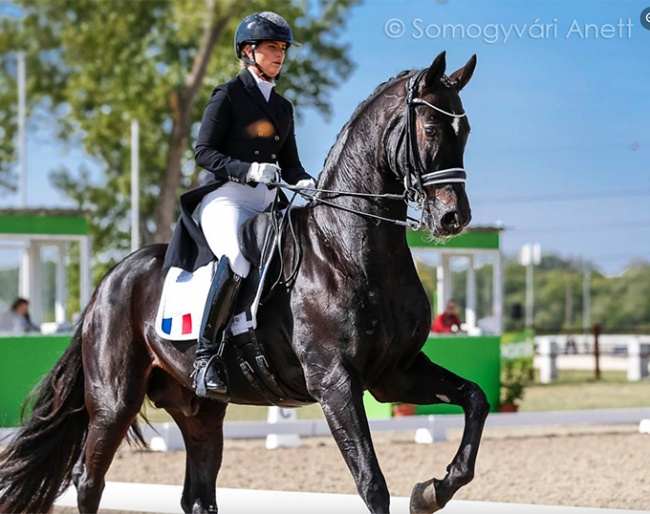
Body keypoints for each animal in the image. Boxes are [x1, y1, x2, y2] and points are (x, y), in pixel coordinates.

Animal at [0, 49, 486, 512]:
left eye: (465, 131)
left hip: (199, 409)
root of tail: (109, 281)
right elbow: (372, 484)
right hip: (113, 402)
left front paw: (432, 491)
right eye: (430, 128)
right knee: (89, 481)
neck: (348, 251)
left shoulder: (395, 374)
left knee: (197, 496)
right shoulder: (335, 384)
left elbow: (475, 399)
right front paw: (424, 491)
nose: (453, 218)